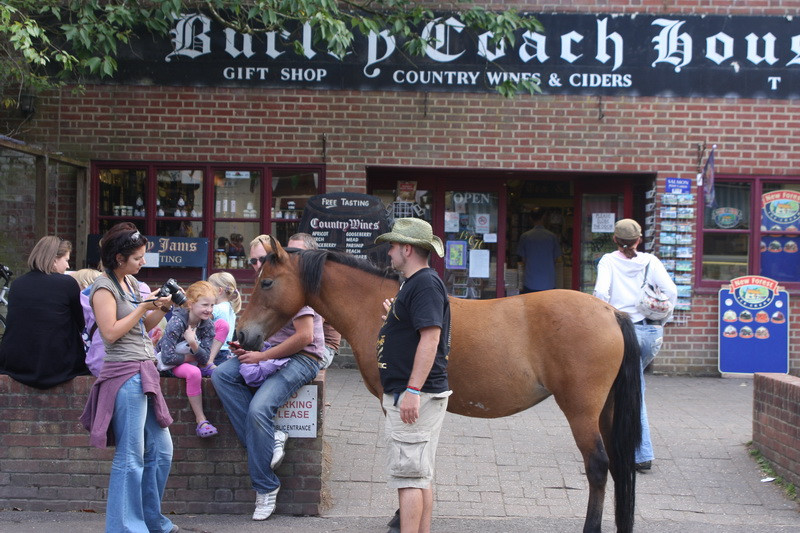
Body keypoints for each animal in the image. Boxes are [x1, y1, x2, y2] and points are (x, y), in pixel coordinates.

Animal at [234, 238, 640, 532]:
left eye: (266, 282)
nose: (242, 336)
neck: (377, 306)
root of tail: (611, 312)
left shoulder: (394, 402)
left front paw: (400, 518)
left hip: (581, 410)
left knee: (598, 465)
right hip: (605, 412)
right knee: (620, 465)